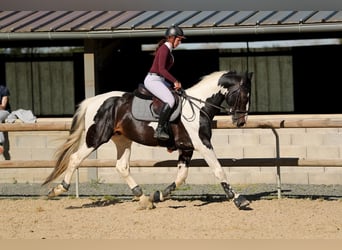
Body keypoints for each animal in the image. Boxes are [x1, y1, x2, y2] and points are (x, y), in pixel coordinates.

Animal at [42, 69, 251, 210]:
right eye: (244, 94)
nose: (241, 121)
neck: (198, 106)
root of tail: (94, 101)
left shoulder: (187, 148)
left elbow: (181, 177)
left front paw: (157, 196)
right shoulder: (203, 144)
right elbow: (218, 170)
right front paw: (238, 199)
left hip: (122, 140)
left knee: (122, 166)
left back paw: (143, 198)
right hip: (96, 138)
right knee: (75, 159)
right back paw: (58, 189)